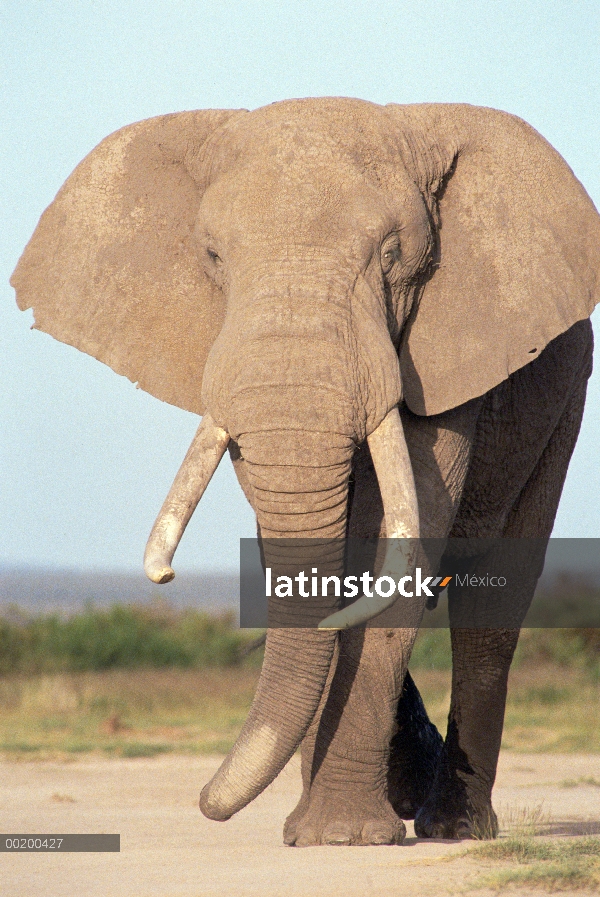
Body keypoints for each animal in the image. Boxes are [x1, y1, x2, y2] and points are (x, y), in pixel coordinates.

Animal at [12, 100, 600, 848]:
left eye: (393, 255)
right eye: (212, 256)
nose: (205, 803)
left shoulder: (442, 355)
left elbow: (397, 539)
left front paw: (339, 837)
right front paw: (319, 828)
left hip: (564, 402)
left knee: (492, 612)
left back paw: (455, 826)